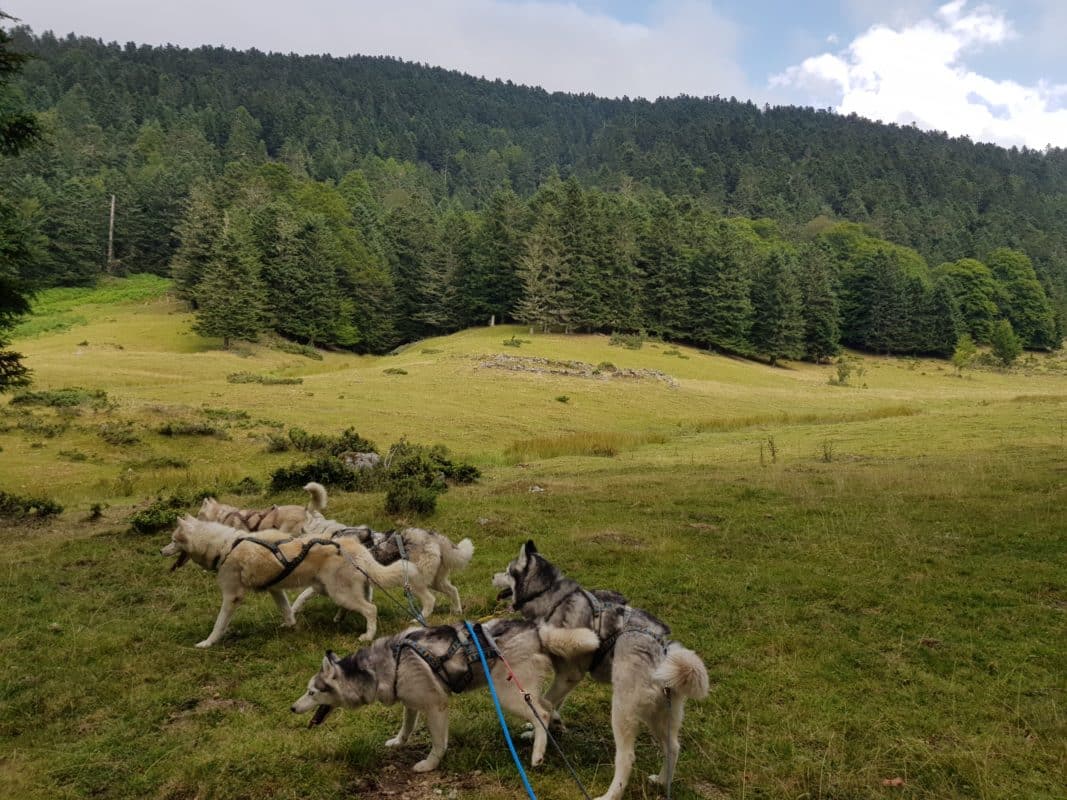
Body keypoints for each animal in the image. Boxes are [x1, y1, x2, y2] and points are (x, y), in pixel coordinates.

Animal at [160, 516, 413, 648]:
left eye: (173, 540)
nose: (161, 551)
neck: (225, 546)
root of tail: (354, 546)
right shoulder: (275, 589)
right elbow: (286, 609)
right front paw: (290, 624)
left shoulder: (232, 596)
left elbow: (219, 624)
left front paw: (207, 643)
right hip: (337, 589)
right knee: (364, 602)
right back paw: (341, 618)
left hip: (338, 591)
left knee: (371, 609)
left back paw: (368, 636)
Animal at [292, 618, 601, 772]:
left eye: (311, 692)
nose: (292, 709)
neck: (381, 666)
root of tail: (536, 629)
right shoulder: (411, 703)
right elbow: (406, 725)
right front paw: (398, 742)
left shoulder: (436, 706)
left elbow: (438, 744)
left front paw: (429, 765)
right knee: (547, 704)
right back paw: (554, 728)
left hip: (507, 694)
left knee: (542, 712)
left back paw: (538, 754)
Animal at [294, 516, 473, 622]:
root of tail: (433, 536)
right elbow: (358, 602)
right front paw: (341, 617)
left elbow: (302, 596)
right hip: (435, 581)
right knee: (453, 590)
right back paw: (457, 611)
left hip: (415, 583)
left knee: (430, 600)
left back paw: (418, 619)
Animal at [490, 541, 708, 800]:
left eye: (507, 570)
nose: (492, 575)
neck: (550, 595)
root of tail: (662, 653)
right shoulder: (565, 679)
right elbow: (553, 704)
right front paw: (545, 728)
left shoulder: (569, 674)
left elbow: (546, 702)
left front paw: (548, 723)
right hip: (659, 716)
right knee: (672, 748)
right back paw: (662, 780)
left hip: (623, 712)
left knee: (627, 757)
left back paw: (610, 795)